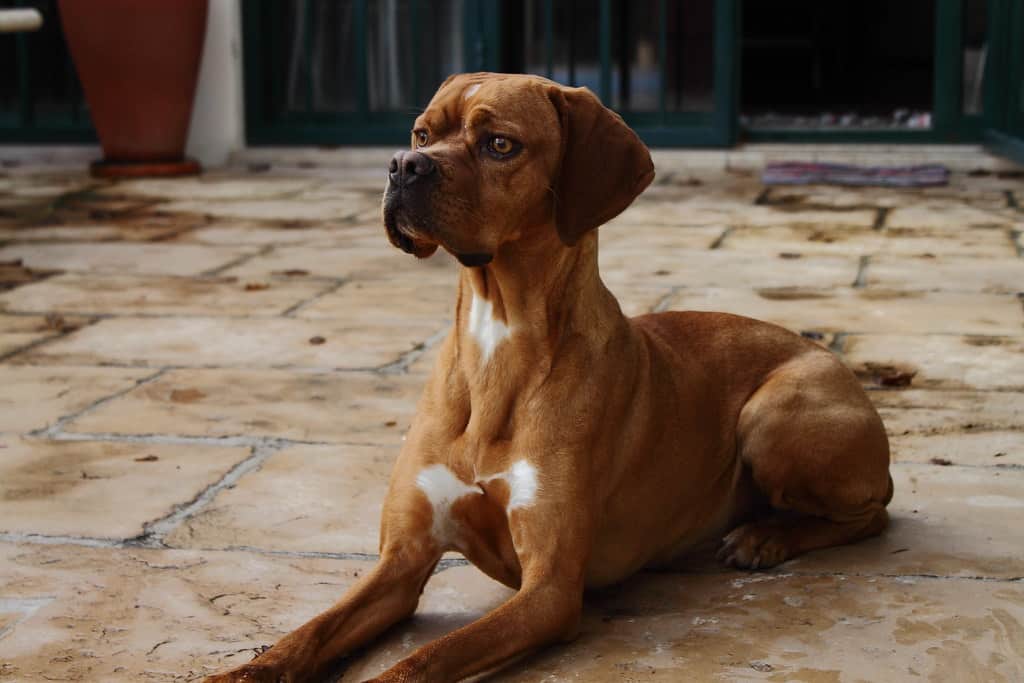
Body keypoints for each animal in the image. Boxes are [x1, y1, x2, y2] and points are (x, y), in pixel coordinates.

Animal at [205, 70, 888, 683]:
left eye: (500, 144)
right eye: (422, 133)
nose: (403, 166)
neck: (498, 338)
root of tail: (829, 356)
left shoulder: (551, 591)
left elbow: (424, 660)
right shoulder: (401, 563)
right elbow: (306, 635)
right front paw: (236, 673)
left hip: (773, 415)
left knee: (873, 513)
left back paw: (765, 538)